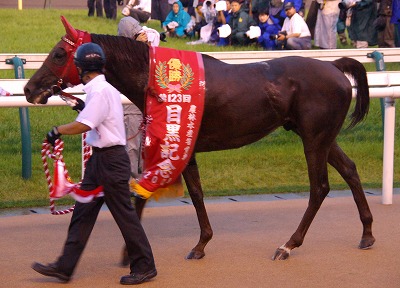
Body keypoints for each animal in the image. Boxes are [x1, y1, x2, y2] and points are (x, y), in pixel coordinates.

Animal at [24, 18, 376, 260]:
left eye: (59, 54)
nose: (29, 89)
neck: (159, 84)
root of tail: (335, 67)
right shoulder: (182, 145)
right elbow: (193, 192)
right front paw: (200, 243)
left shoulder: (173, 144)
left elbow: (146, 194)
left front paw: (130, 252)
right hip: (319, 136)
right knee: (350, 169)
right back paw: (367, 232)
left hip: (314, 138)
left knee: (320, 187)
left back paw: (288, 244)